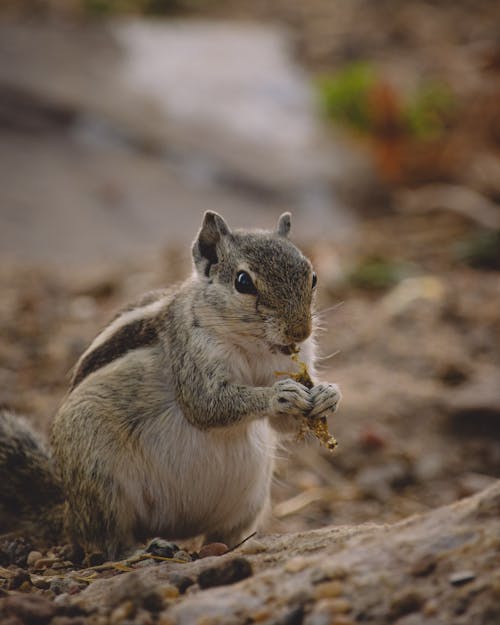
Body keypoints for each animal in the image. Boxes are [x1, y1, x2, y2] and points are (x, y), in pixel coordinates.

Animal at [0, 212, 340, 560]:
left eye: (312, 277)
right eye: (243, 282)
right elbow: (207, 405)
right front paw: (279, 395)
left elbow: (283, 425)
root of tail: (69, 512)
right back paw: (142, 550)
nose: (300, 332)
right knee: (105, 541)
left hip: (251, 498)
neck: (253, 346)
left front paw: (328, 394)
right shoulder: (190, 355)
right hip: (99, 479)